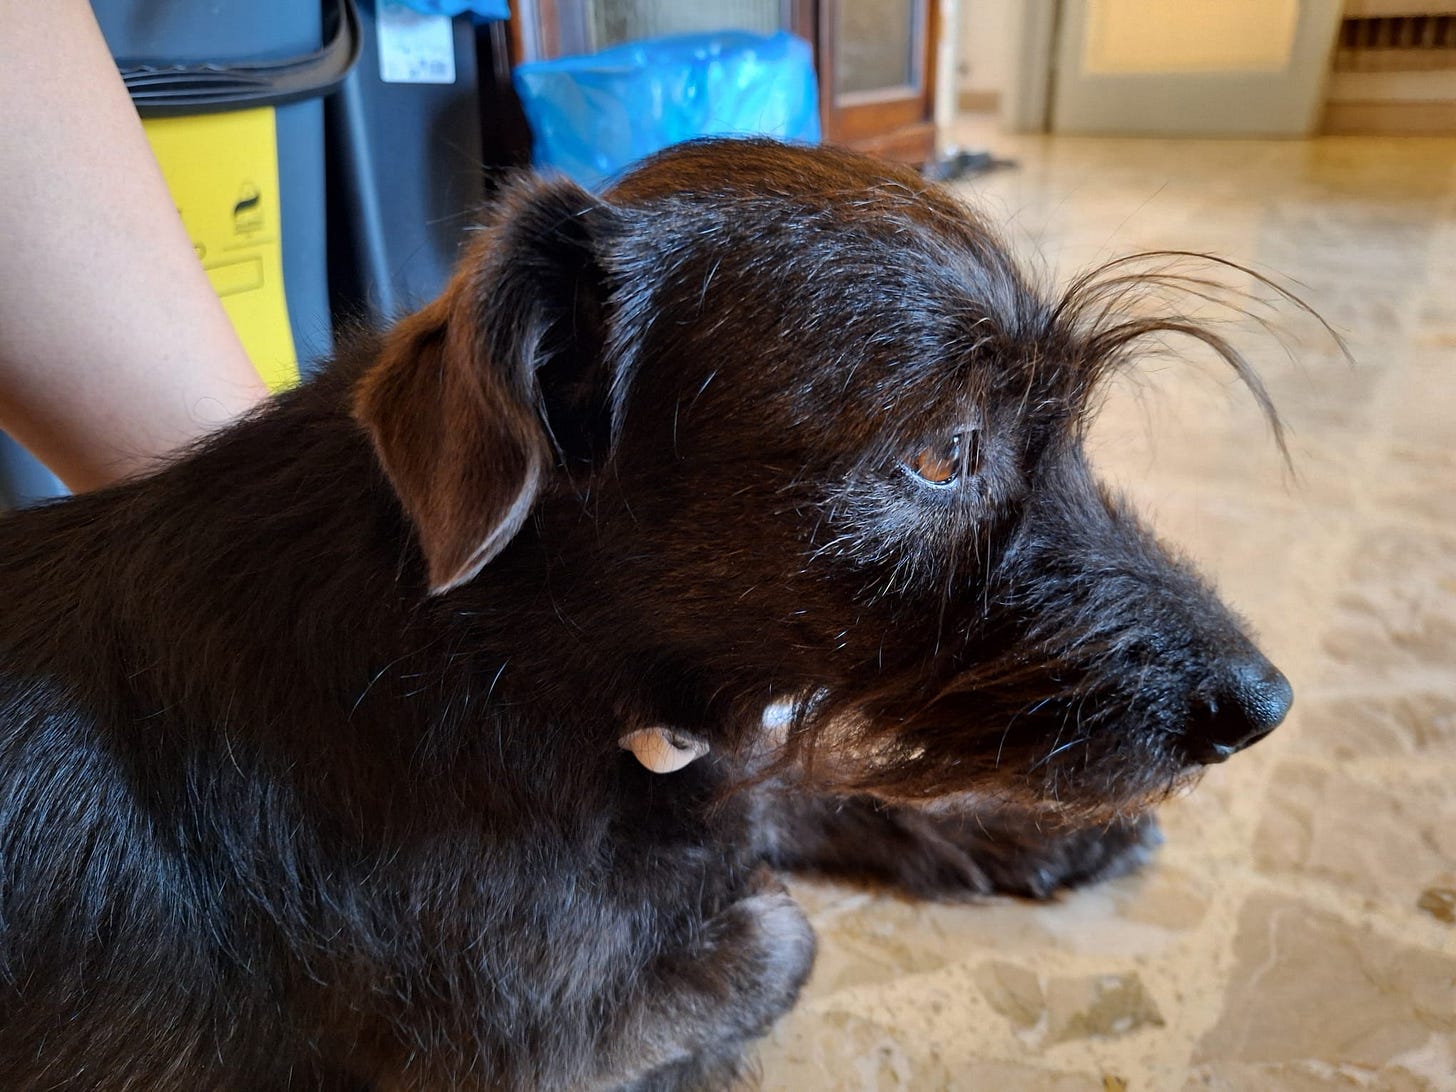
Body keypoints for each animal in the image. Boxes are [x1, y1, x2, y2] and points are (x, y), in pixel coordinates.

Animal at [0, 141, 1298, 1089]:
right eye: (942, 453)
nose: (1263, 703)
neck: (509, 653)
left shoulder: (719, 753)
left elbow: (798, 782)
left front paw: (1023, 833)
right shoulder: (521, 1052)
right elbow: (780, 930)